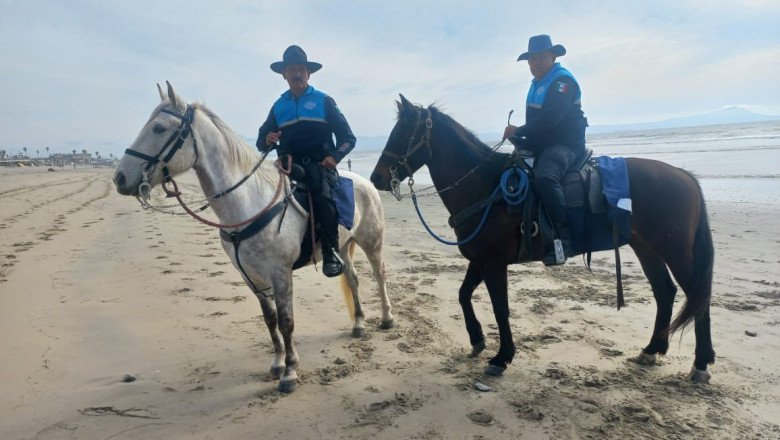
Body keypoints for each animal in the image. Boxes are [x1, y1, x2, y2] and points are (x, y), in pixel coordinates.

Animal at [370, 96, 712, 382]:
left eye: (403, 132)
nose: (376, 178)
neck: (486, 187)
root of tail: (683, 175)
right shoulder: (480, 260)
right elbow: (463, 295)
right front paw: (477, 339)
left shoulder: (493, 264)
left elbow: (500, 308)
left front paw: (502, 357)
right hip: (647, 248)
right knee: (665, 292)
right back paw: (652, 350)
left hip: (675, 250)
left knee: (698, 296)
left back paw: (701, 364)